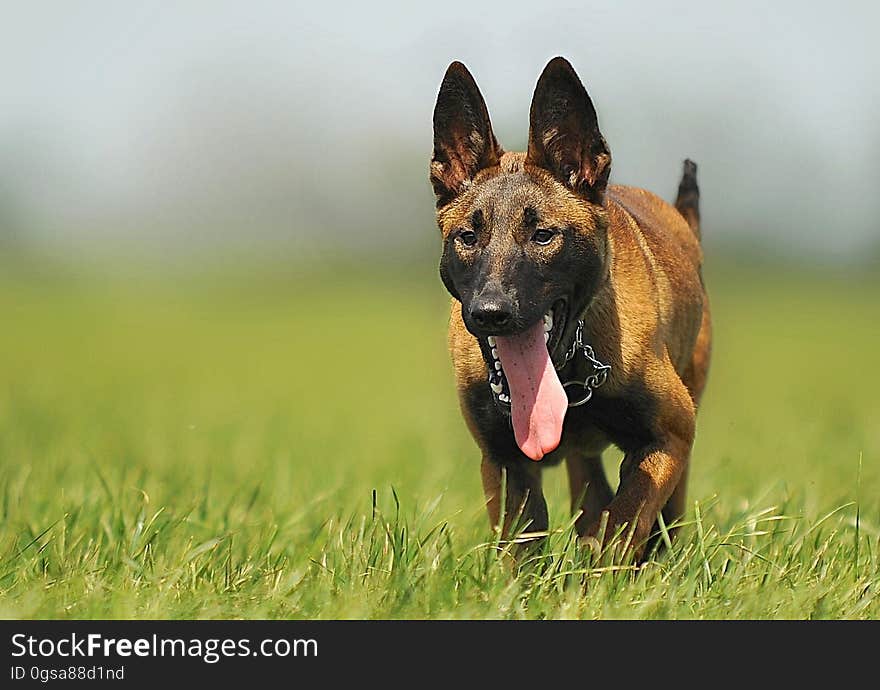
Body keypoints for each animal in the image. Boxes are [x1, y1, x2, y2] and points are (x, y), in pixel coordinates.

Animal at [430, 56, 712, 556]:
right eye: (468, 236)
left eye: (543, 235)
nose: (490, 312)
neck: (568, 368)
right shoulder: (504, 460)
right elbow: (524, 544)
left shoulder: (669, 436)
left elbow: (625, 520)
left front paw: (605, 571)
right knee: (591, 489)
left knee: (662, 518)